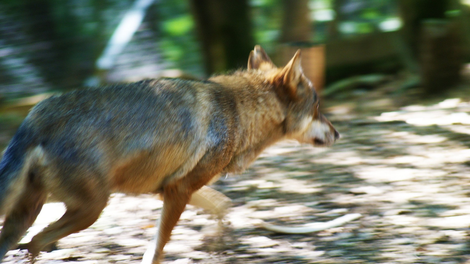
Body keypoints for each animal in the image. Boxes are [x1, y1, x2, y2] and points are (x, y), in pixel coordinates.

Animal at [0, 46, 338, 262]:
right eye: (318, 107)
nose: (338, 134)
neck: (239, 112)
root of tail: (37, 118)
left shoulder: (170, 189)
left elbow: (223, 205)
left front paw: (217, 240)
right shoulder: (178, 191)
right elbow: (157, 249)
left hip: (32, 212)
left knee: (28, 242)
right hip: (90, 210)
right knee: (36, 241)